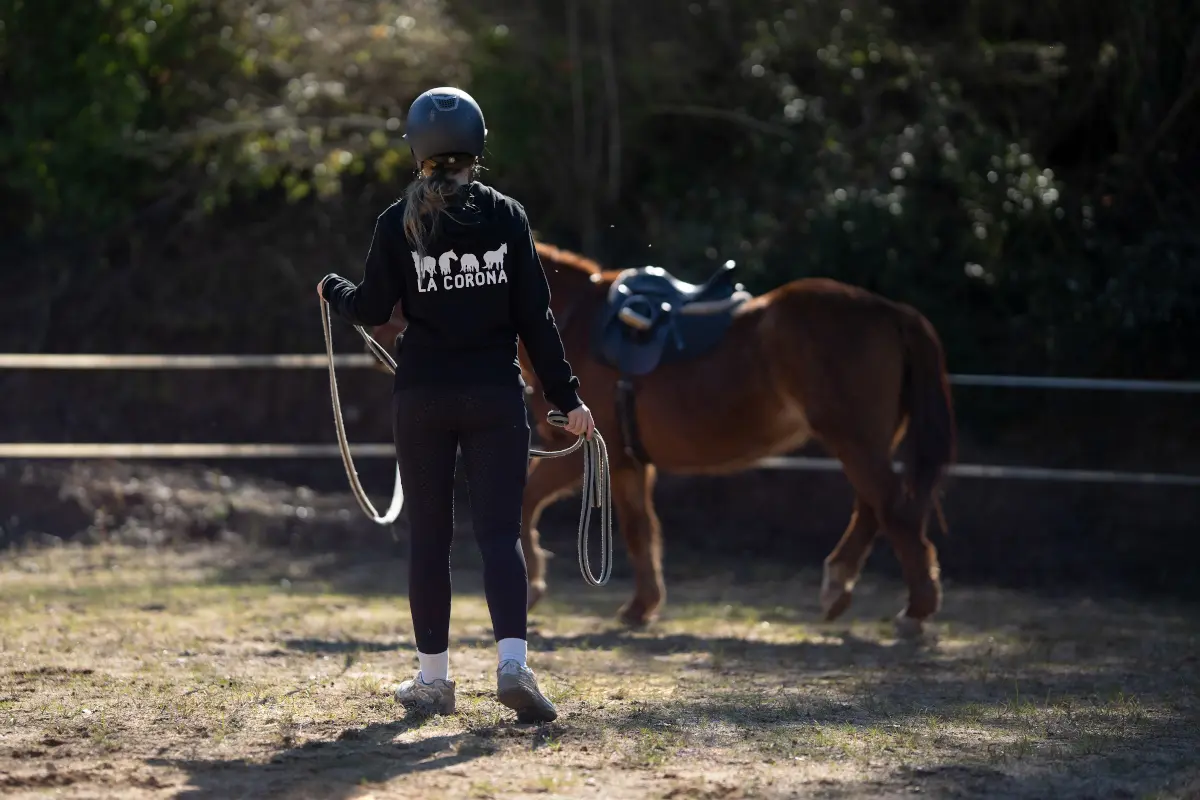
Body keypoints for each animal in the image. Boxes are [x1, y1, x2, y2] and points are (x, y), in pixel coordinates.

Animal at [368, 241, 956, 639]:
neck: (572, 321)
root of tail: (890, 312)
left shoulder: (582, 452)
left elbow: (531, 500)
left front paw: (534, 582)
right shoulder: (628, 463)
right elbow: (639, 530)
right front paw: (641, 606)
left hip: (855, 440)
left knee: (893, 511)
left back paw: (916, 610)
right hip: (862, 442)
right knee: (875, 509)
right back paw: (842, 588)